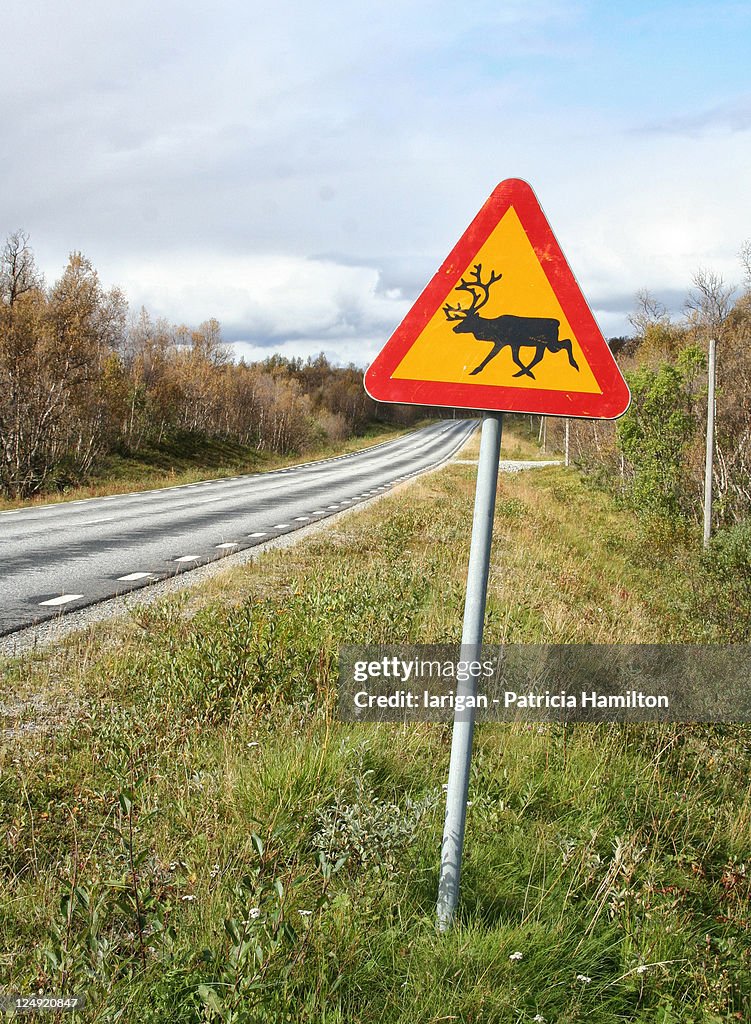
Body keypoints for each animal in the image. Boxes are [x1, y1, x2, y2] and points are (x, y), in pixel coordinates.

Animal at [443, 264, 580, 379]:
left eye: (469, 320)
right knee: (539, 357)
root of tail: (557, 322)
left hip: (550, 342)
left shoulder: (506, 341)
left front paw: (475, 370)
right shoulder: (510, 343)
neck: (491, 329)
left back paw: (574, 364)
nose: (455, 328)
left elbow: (495, 356)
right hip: (542, 344)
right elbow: (512, 358)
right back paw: (522, 373)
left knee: (567, 342)